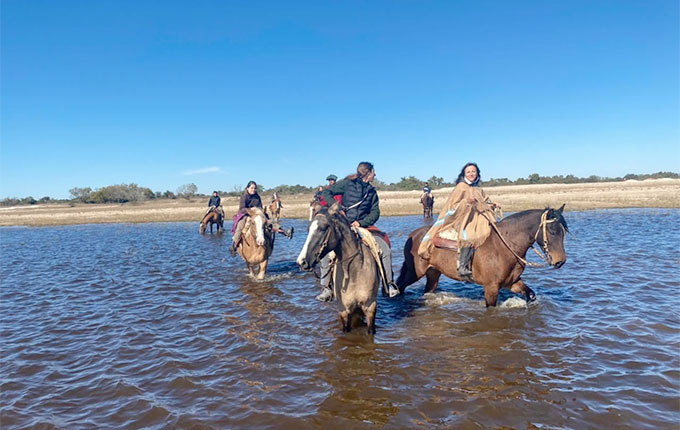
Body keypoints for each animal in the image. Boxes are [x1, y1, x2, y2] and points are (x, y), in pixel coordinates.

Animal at [298, 203, 382, 334]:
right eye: (308, 229)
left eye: (323, 228)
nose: (302, 261)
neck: (355, 271)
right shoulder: (344, 311)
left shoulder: (370, 308)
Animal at [398, 207, 568, 306]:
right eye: (552, 231)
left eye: (564, 231)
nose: (560, 261)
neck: (504, 246)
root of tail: (413, 235)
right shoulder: (491, 288)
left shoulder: (511, 282)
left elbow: (530, 294)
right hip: (415, 272)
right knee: (400, 286)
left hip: (433, 273)